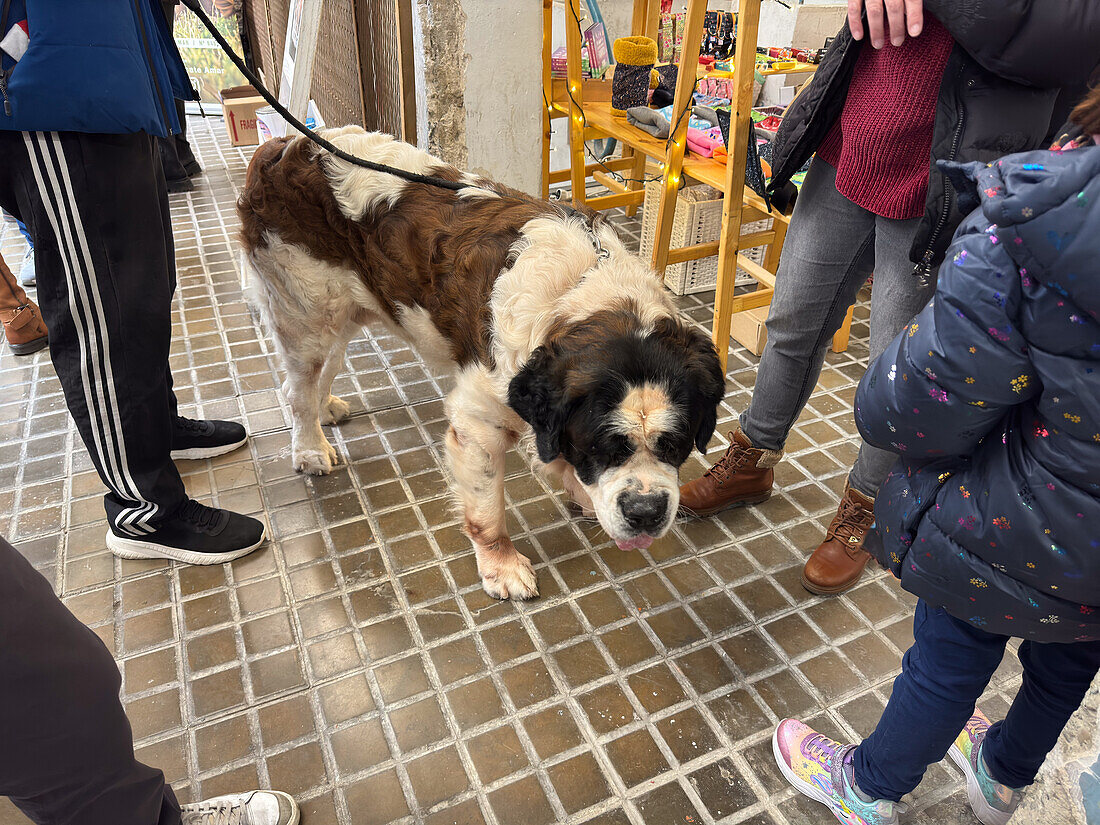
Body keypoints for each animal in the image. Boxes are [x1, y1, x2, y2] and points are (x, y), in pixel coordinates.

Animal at [237, 127, 726, 602]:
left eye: (674, 445)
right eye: (601, 446)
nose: (645, 512)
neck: (582, 291)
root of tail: (285, 145)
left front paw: (582, 496)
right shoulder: (478, 423)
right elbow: (488, 511)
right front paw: (502, 567)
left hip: (341, 313)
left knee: (324, 370)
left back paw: (327, 410)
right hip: (304, 312)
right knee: (297, 388)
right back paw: (310, 448)